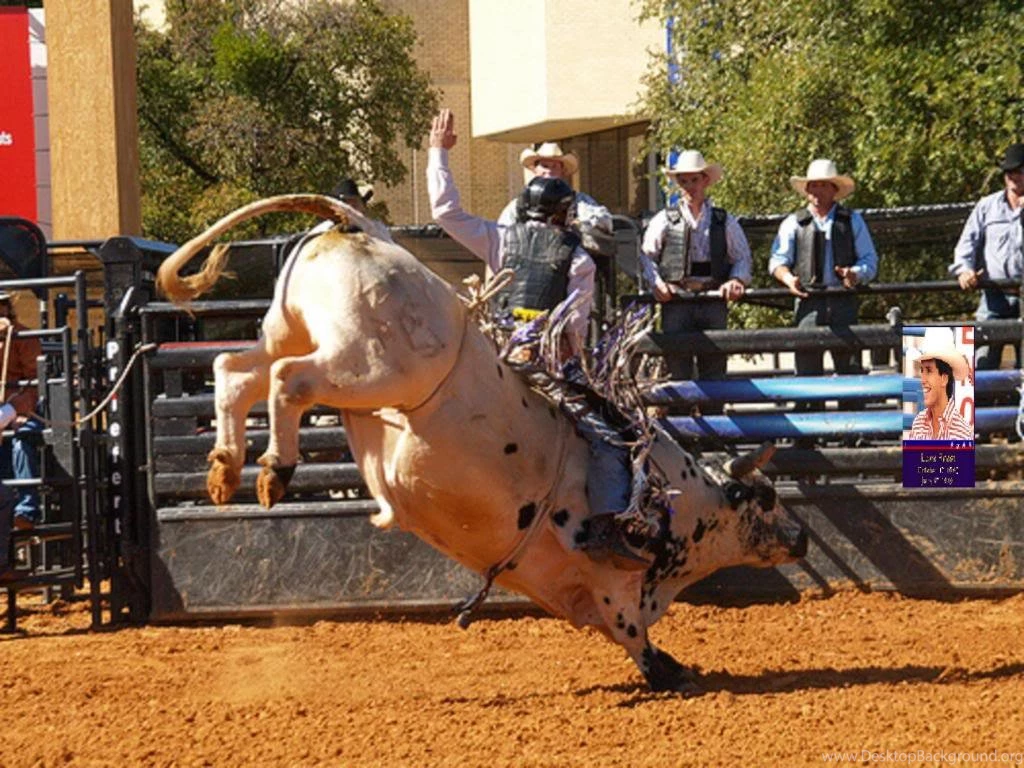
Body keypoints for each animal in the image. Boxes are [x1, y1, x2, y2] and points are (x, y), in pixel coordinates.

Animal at [156, 195, 808, 694]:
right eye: (769, 497)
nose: (800, 537)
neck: (681, 499)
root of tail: (358, 225)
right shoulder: (615, 582)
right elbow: (630, 631)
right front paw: (672, 671)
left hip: (290, 328)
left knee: (235, 371)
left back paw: (225, 469)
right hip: (368, 366)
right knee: (290, 382)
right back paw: (274, 468)